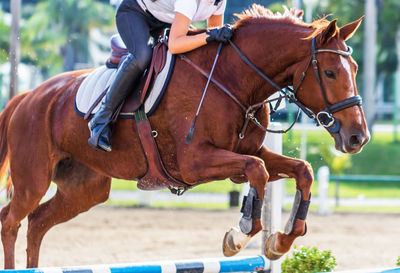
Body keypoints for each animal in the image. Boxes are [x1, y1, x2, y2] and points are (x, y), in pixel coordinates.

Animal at [0, 5, 368, 268]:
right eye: (330, 73)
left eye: (355, 70)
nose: (358, 138)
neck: (235, 79)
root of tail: (28, 97)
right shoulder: (195, 162)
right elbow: (258, 172)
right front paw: (238, 236)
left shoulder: (249, 152)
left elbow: (300, 170)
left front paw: (280, 241)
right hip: (33, 179)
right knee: (11, 221)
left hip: (85, 188)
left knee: (38, 222)